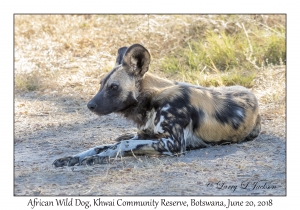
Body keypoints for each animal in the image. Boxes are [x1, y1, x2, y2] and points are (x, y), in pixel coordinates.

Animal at [52, 43, 262, 167]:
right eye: (100, 84)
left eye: (113, 87)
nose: (90, 105)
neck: (151, 101)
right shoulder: (146, 136)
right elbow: (100, 146)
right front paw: (72, 158)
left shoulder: (173, 144)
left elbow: (122, 145)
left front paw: (96, 158)